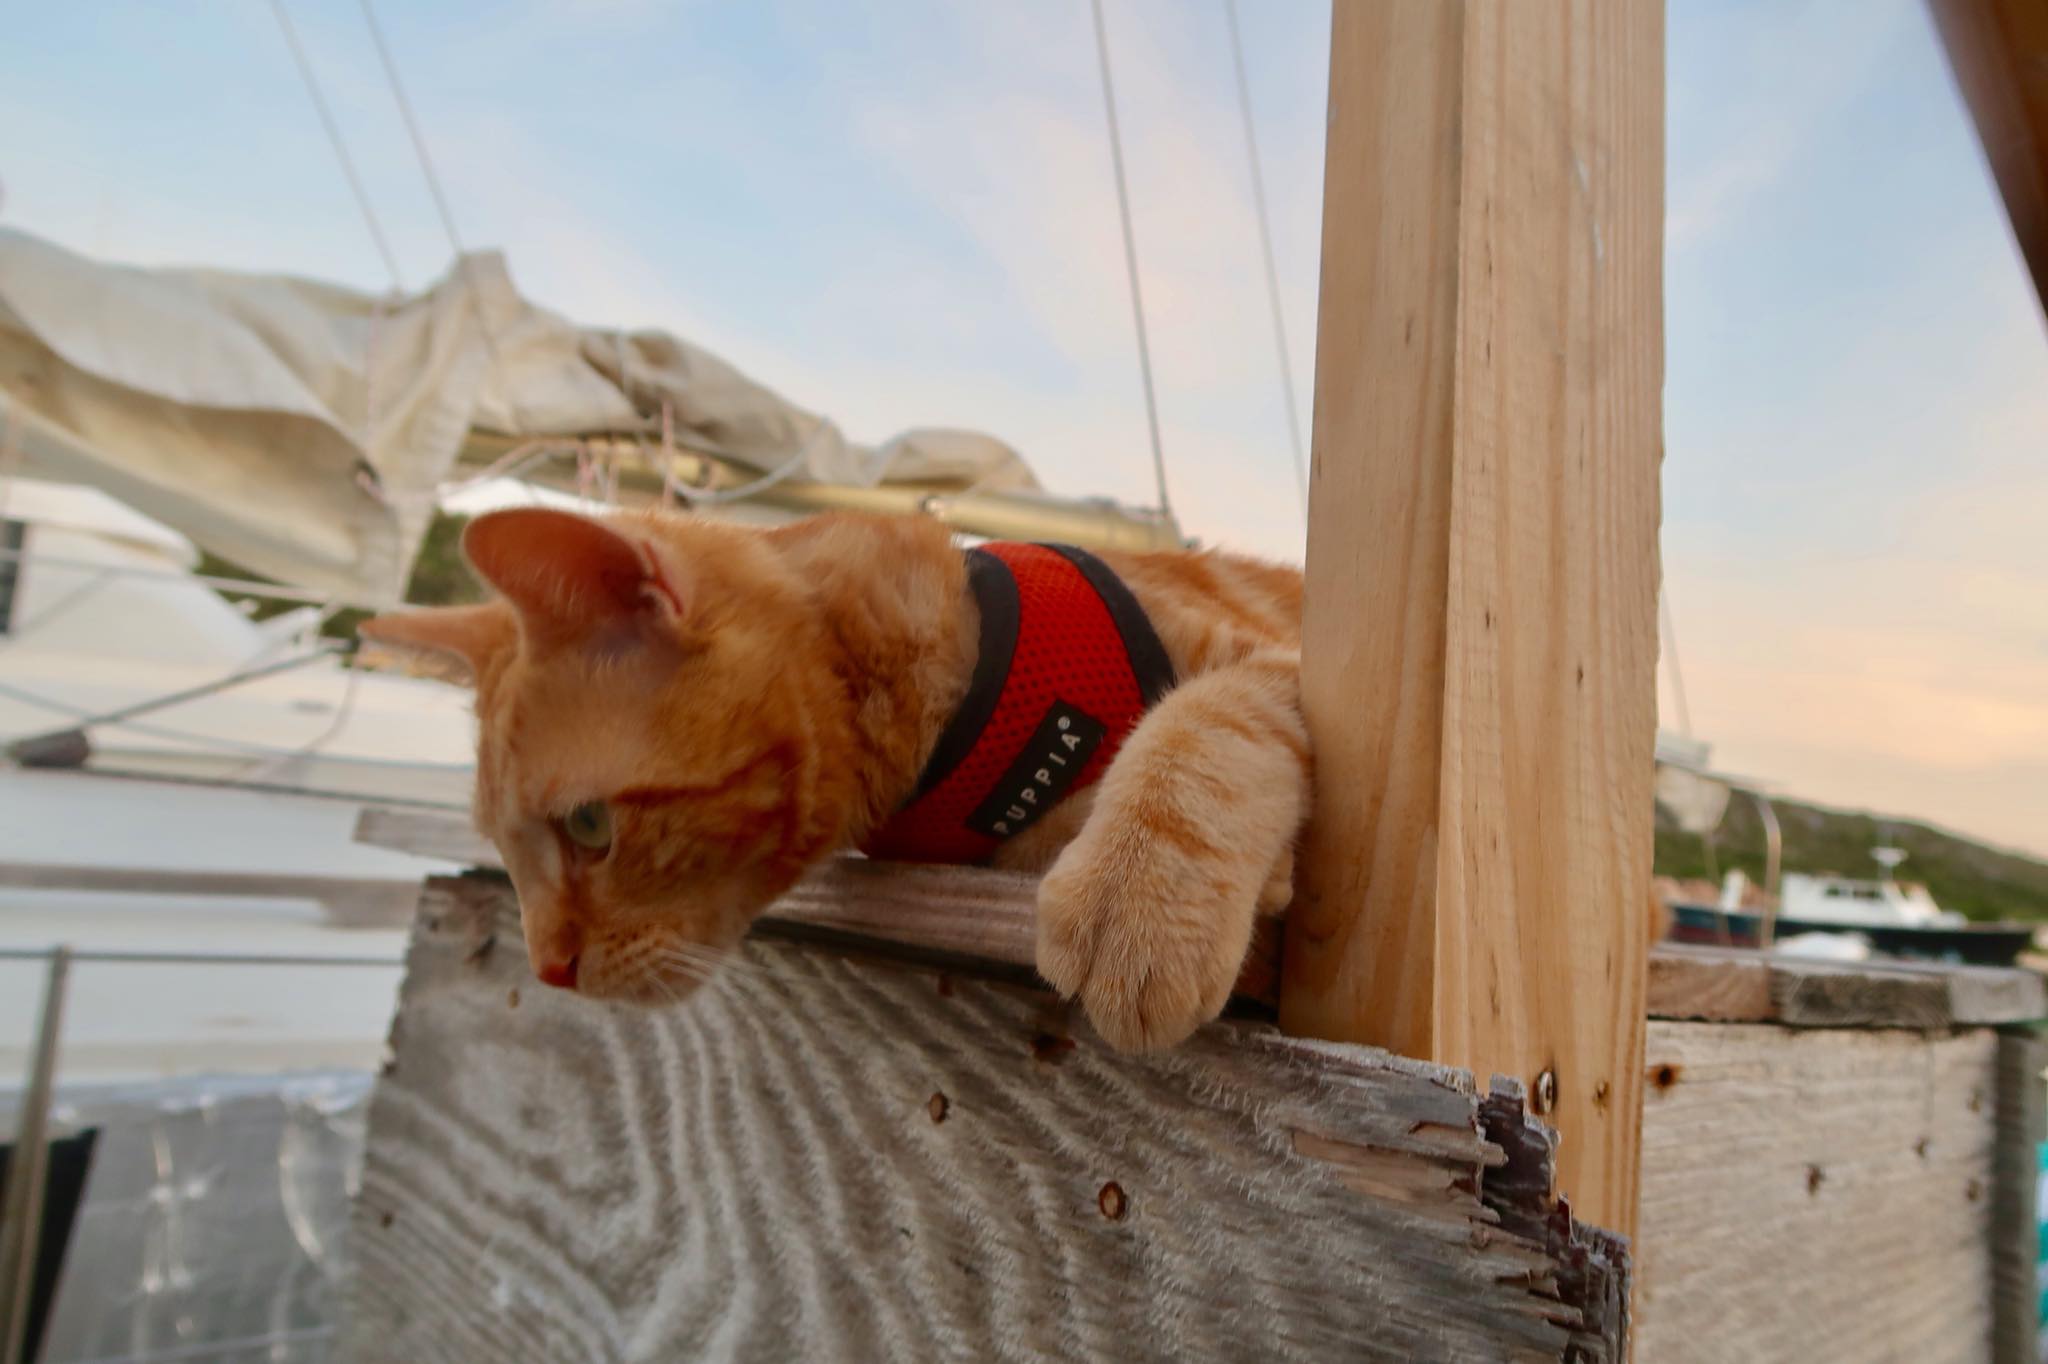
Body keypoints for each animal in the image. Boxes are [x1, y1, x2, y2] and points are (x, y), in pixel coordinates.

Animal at [360, 503, 1302, 1044]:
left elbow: (1211, 718)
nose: (547, 969)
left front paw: (1140, 895)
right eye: (506, 849)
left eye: (589, 827)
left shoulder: (1294, 660)